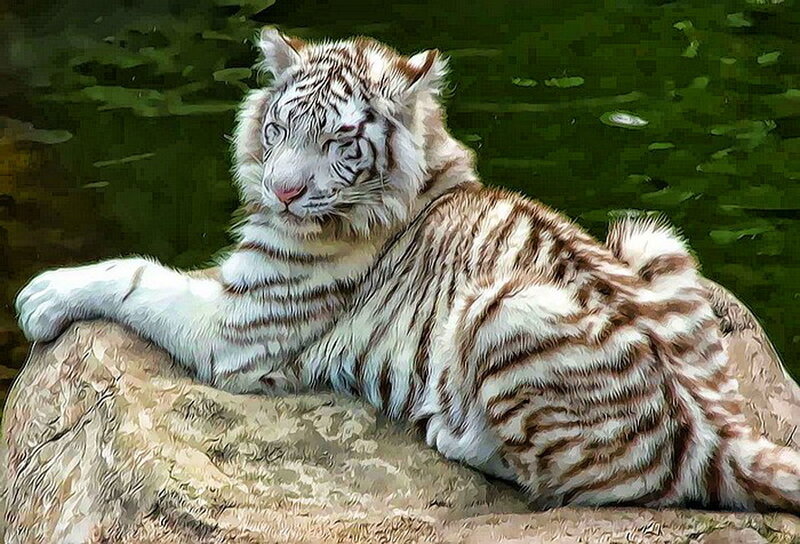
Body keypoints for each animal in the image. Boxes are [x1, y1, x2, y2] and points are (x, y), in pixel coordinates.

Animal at [15, 28, 800, 512]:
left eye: (338, 142)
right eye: (279, 127)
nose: (283, 192)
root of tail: (722, 435)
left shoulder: (238, 330)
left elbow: (139, 277)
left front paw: (44, 295)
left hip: (504, 309)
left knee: (584, 485)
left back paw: (454, 432)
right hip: (648, 236)